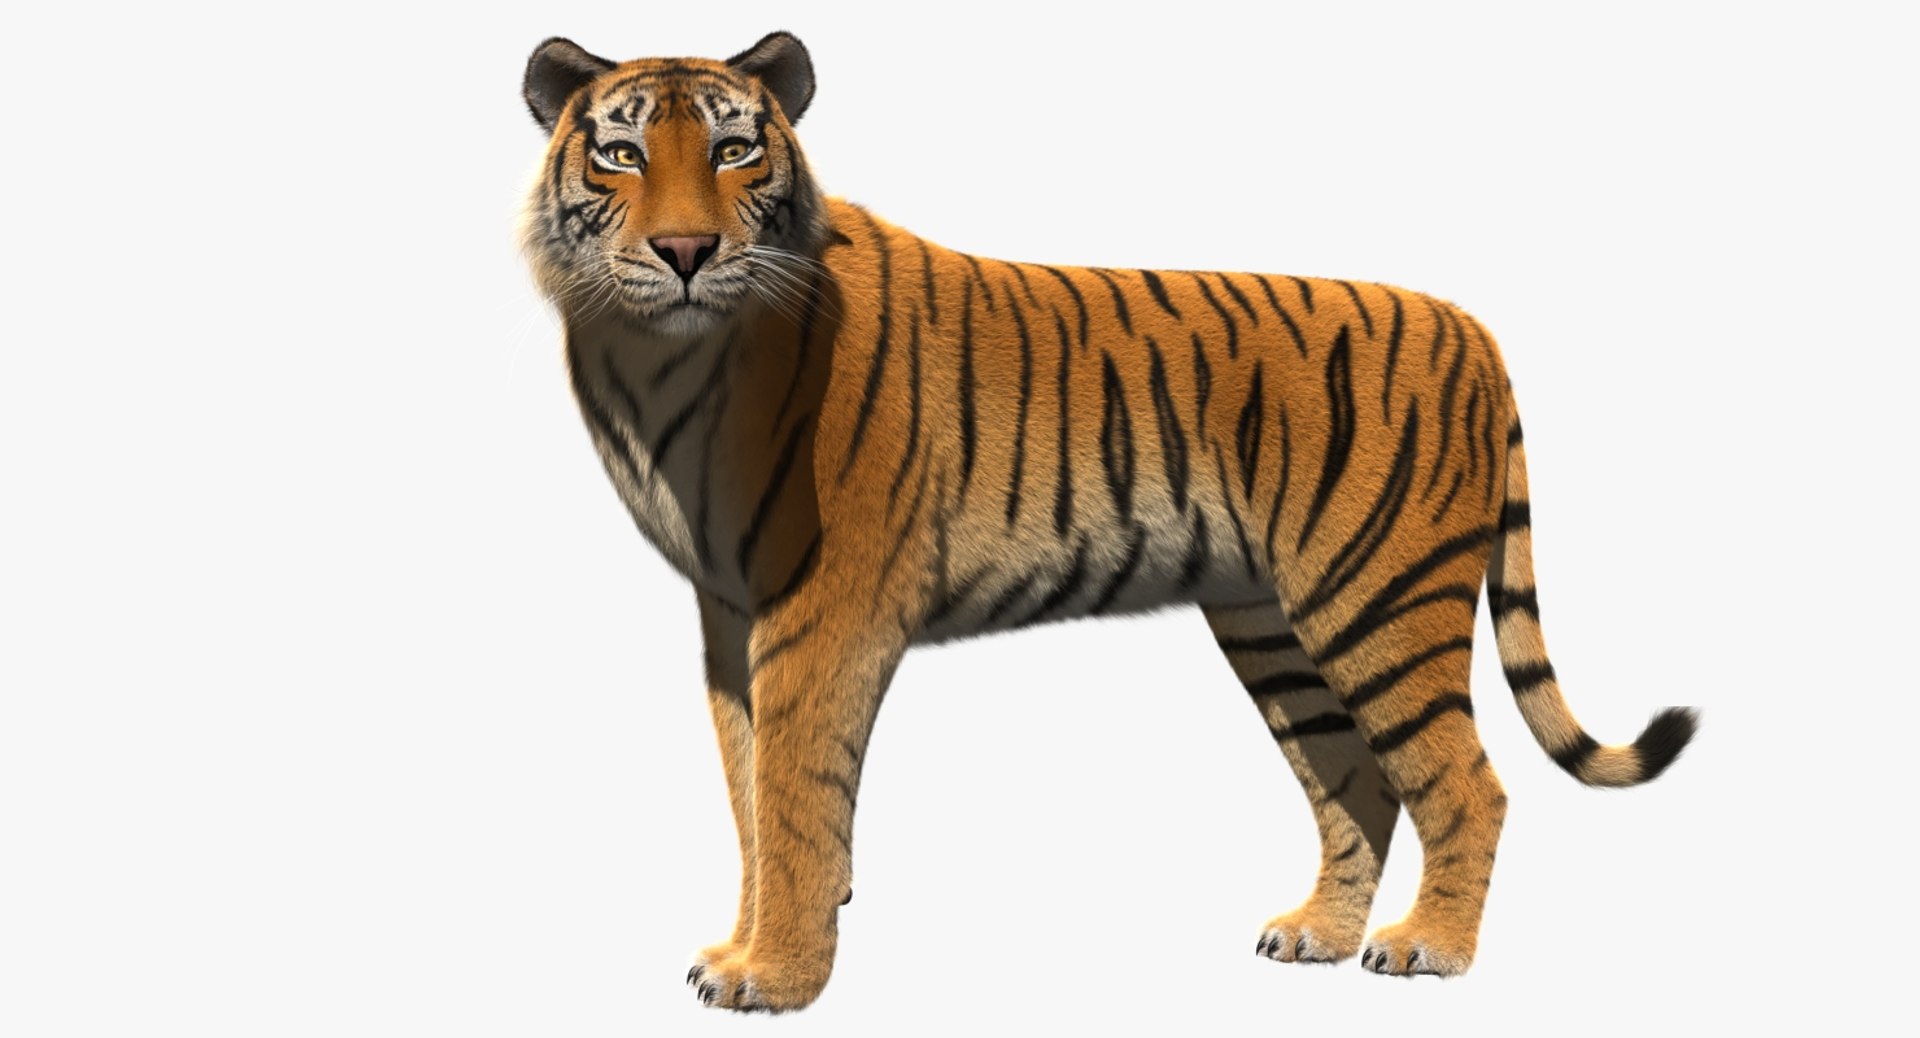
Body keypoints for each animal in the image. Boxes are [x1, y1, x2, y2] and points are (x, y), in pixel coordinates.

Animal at [517, 31, 1698, 1012]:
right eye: (621, 155)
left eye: (734, 152)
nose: (684, 251)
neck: (660, 360)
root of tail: (1473, 328)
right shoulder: (729, 618)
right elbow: (748, 795)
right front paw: (739, 949)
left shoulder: (823, 612)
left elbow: (796, 797)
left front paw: (775, 979)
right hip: (1275, 625)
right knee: (1357, 781)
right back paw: (1317, 935)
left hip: (1379, 599)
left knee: (1467, 782)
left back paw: (1429, 950)